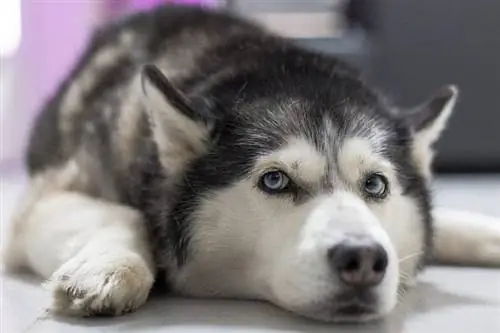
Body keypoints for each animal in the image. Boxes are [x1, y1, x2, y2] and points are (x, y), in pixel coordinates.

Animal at [3, 5, 500, 322]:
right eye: (275, 180)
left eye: (376, 185)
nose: (363, 258)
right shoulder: (41, 203)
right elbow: (127, 215)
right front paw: (109, 268)